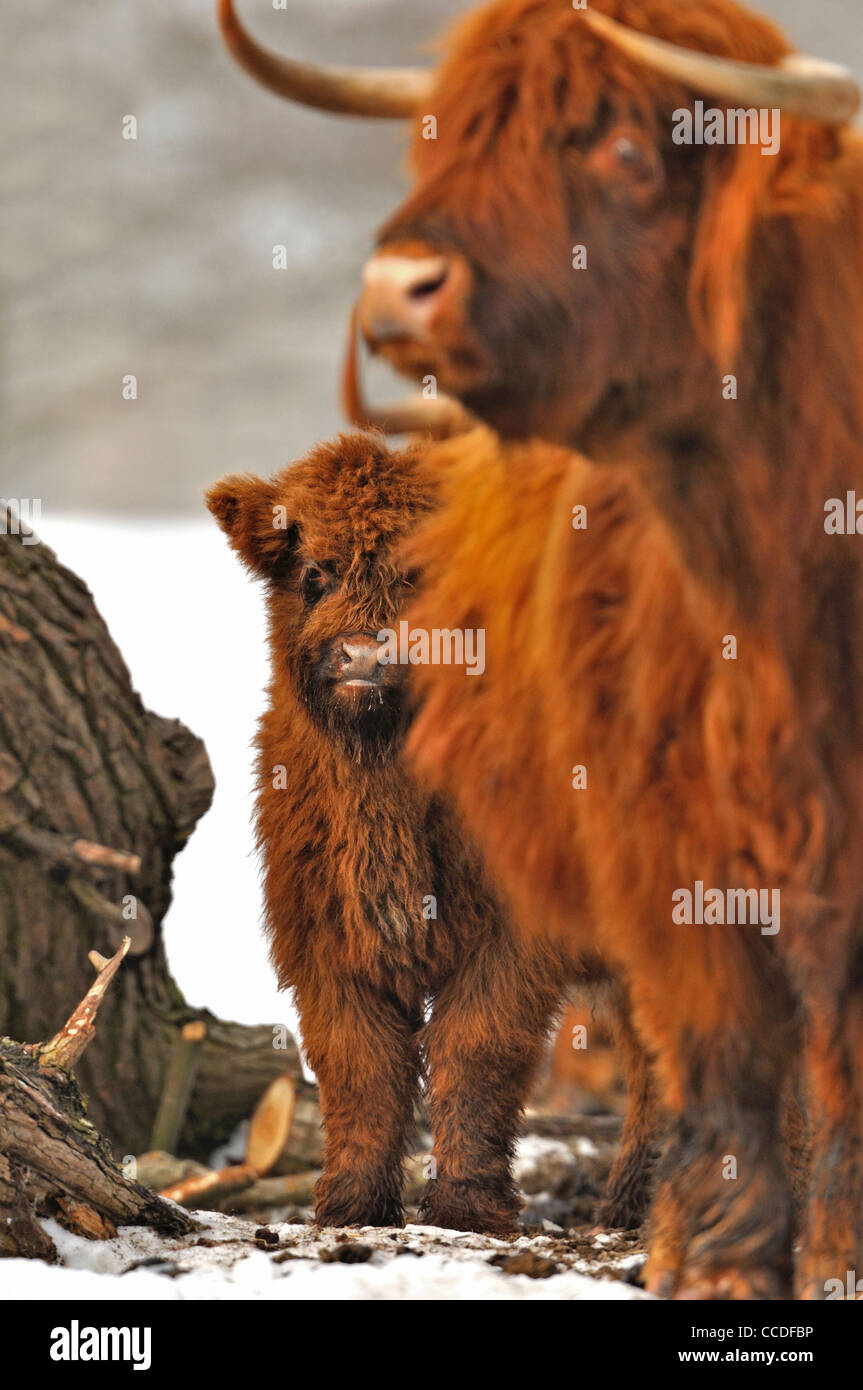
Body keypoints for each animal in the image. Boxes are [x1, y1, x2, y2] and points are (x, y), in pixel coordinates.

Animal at [207, 436, 653, 1239]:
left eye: (420, 575)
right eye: (313, 574)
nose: (363, 656)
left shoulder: (510, 940)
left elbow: (474, 1049)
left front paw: (468, 1205)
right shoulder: (323, 944)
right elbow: (360, 1066)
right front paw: (351, 1204)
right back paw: (640, 1201)